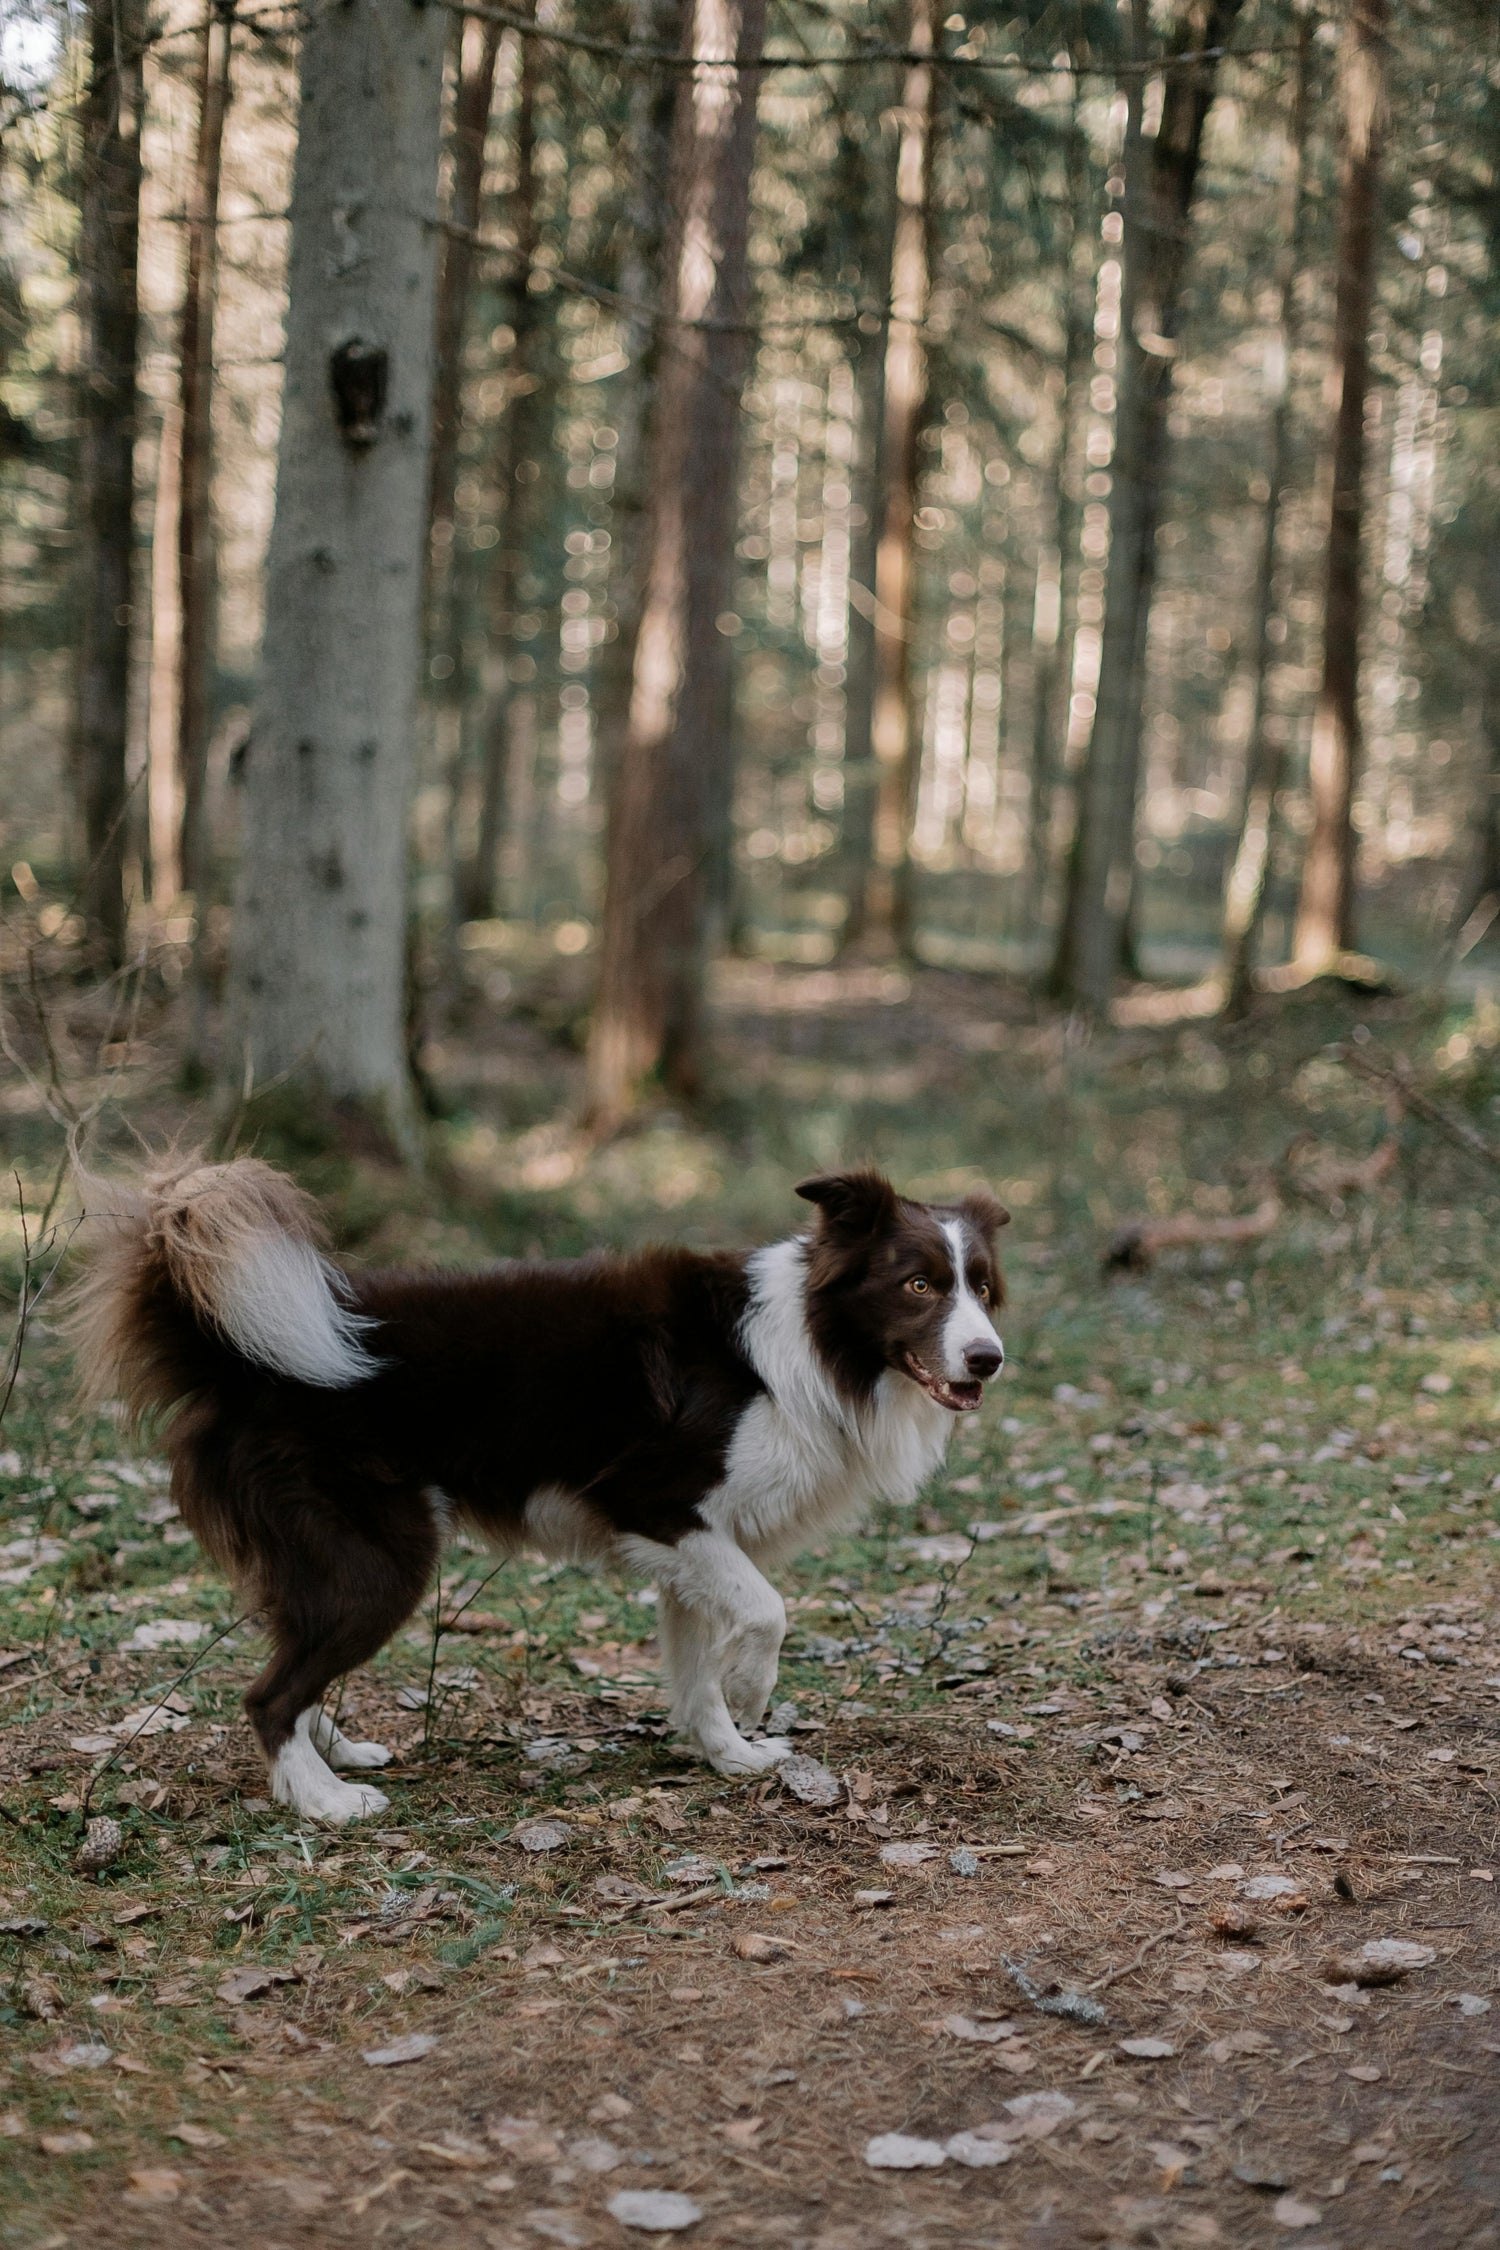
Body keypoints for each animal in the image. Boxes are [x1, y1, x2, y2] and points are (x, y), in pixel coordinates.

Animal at [70, 1152, 1007, 1818]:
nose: (989, 1358)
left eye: (985, 1289)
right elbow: (769, 1612)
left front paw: (730, 1754)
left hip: (323, 1560)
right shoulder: (657, 1504)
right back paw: (326, 1804)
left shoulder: (697, 1550)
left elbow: (696, 1670)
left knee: (290, 1662)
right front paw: (754, 1690)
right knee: (269, 1694)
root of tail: (241, 1360)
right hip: (383, 1558)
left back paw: (334, 1757)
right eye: (919, 1284)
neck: (808, 1350)